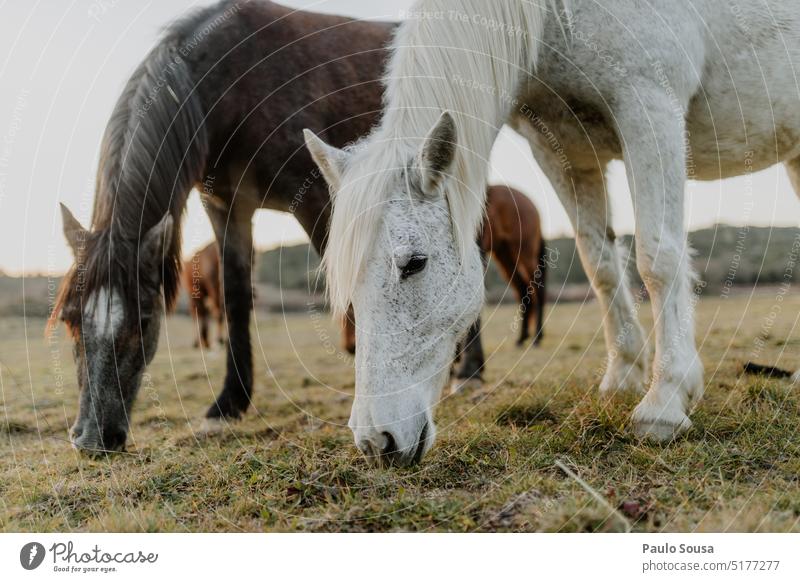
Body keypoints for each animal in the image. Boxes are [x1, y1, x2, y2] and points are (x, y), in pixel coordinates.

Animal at [51, 0, 396, 456]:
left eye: (144, 319)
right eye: (69, 317)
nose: (91, 438)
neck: (231, 84)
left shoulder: (316, 196)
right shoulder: (227, 208)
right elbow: (235, 297)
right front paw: (229, 402)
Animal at [340, 185, 548, 354]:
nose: (350, 347)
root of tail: (530, 203)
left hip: (524, 253)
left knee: (537, 290)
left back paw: (537, 338)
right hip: (506, 257)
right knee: (523, 291)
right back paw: (522, 339)